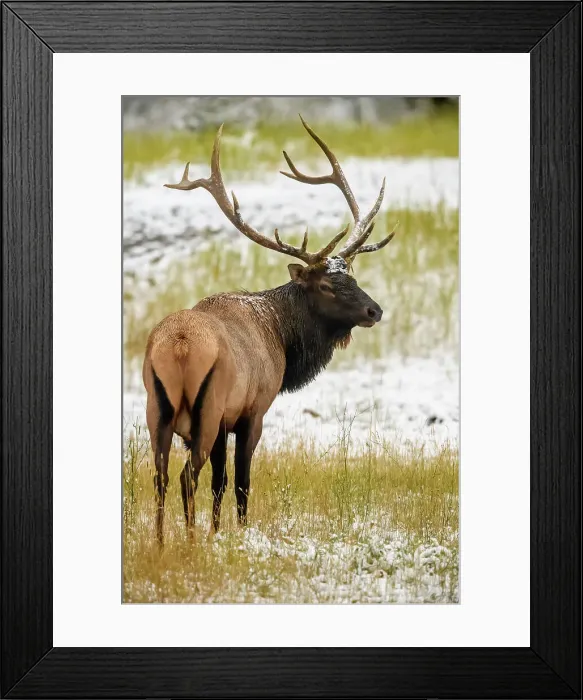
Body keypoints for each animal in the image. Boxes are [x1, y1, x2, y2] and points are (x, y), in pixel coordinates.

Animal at [143, 116, 397, 546]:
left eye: (352, 275)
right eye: (326, 286)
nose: (374, 310)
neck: (281, 337)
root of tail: (178, 347)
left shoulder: (226, 421)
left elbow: (220, 482)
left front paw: (217, 532)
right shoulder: (252, 411)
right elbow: (239, 482)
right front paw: (238, 535)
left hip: (156, 410)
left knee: (160, 478)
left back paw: (163, 544)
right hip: (206, 411)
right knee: (184, 477)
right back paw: (189, 542)